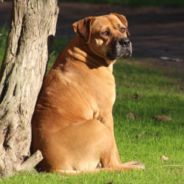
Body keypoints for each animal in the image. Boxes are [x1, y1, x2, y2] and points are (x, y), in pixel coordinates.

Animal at [32, 12, 145, 174]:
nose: (125, 42)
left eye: (123, 29)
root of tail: (55, 167)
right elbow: (115, 149)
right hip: (97, 127)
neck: (86, 53)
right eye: (105, 33)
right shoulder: (106, 114)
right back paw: (130, 167)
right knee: (110, 166)